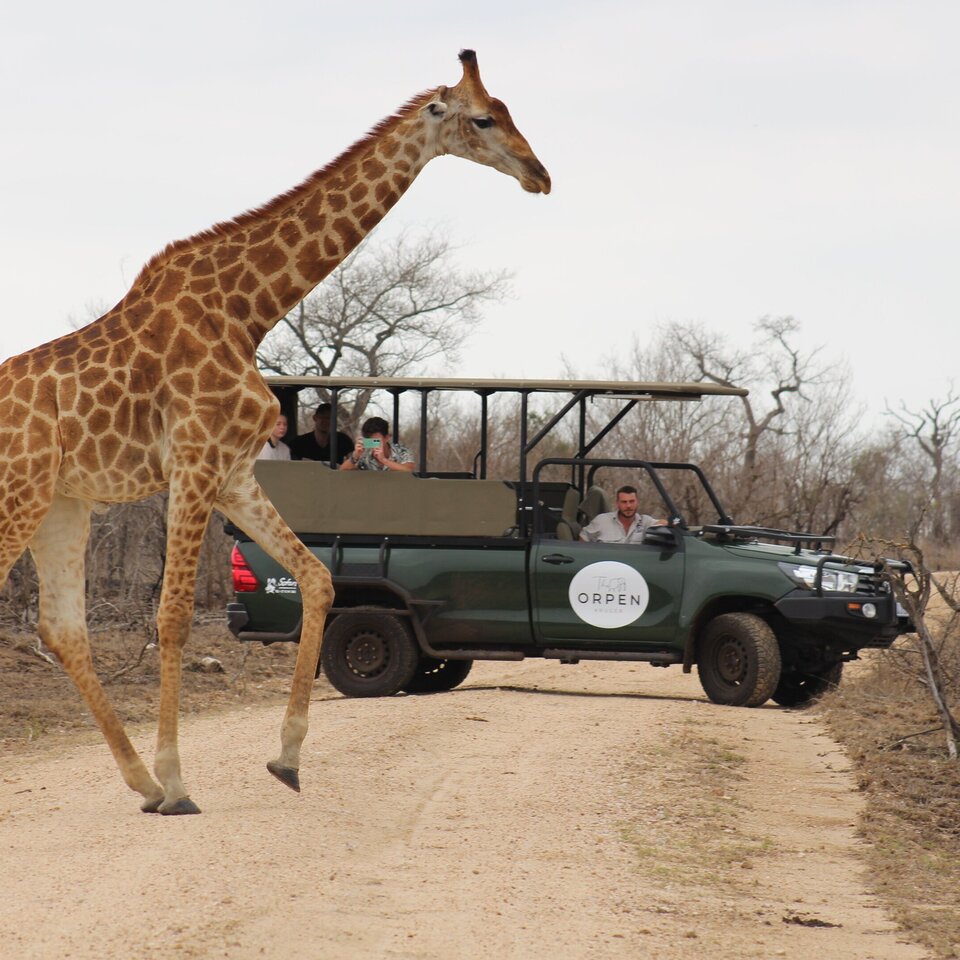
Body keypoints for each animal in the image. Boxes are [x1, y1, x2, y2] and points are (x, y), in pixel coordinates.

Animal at [0, 50, 550, 815]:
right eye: (483, 118)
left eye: (506, 109)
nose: (540, 174)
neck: (247, 308)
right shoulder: (195, 461)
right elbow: (172, 615)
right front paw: (179, 783)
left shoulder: (232, 472)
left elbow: (317, 578)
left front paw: (284, 759)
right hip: (19, 494)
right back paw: (153, 781)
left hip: (59, 503)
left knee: (62, 628)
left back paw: (139, 782)